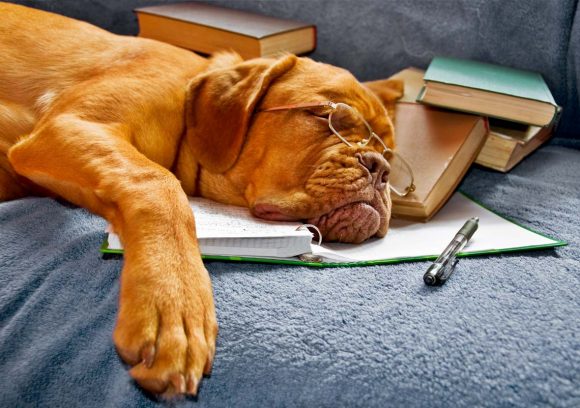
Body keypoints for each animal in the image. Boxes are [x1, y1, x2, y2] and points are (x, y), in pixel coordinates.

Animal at [0, 1, 406, 396]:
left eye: (390, 151)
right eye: (326, 116)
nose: (380, 167)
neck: (188, 108)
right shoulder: (71, 127)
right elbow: (158, 183)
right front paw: (173, 299)